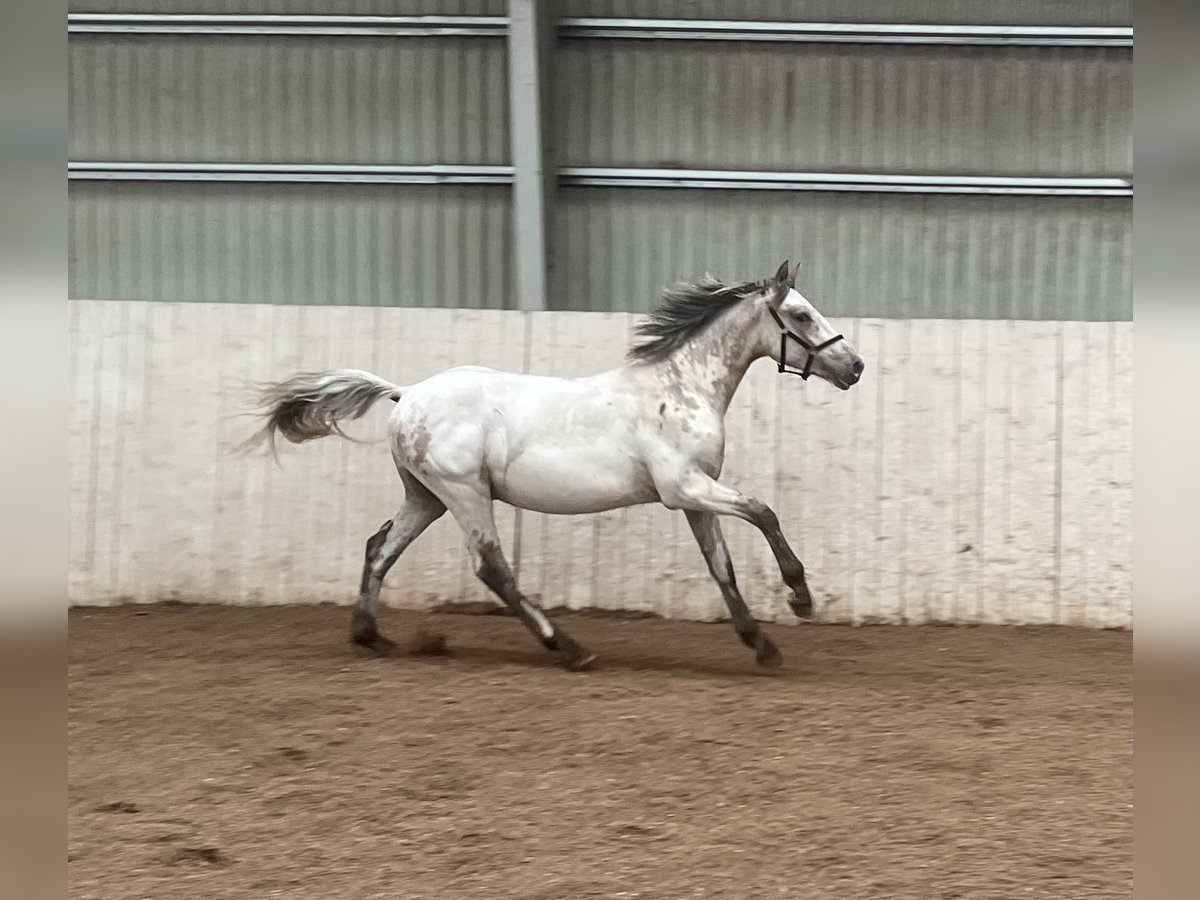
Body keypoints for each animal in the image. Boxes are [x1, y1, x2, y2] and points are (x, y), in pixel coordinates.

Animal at [248, 260, 864, 672]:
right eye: (801, 314)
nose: (854, 366)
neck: (680, 389)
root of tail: (407, 394)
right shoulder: (685, 488)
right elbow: (764, 512)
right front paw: (801, 598)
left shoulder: (695, 495)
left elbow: (723, 569)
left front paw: (763, 645)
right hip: (465, 493)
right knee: (491, 567)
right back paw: (569, 648)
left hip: (426, 497)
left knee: (380, 548)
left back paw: (370, 637)